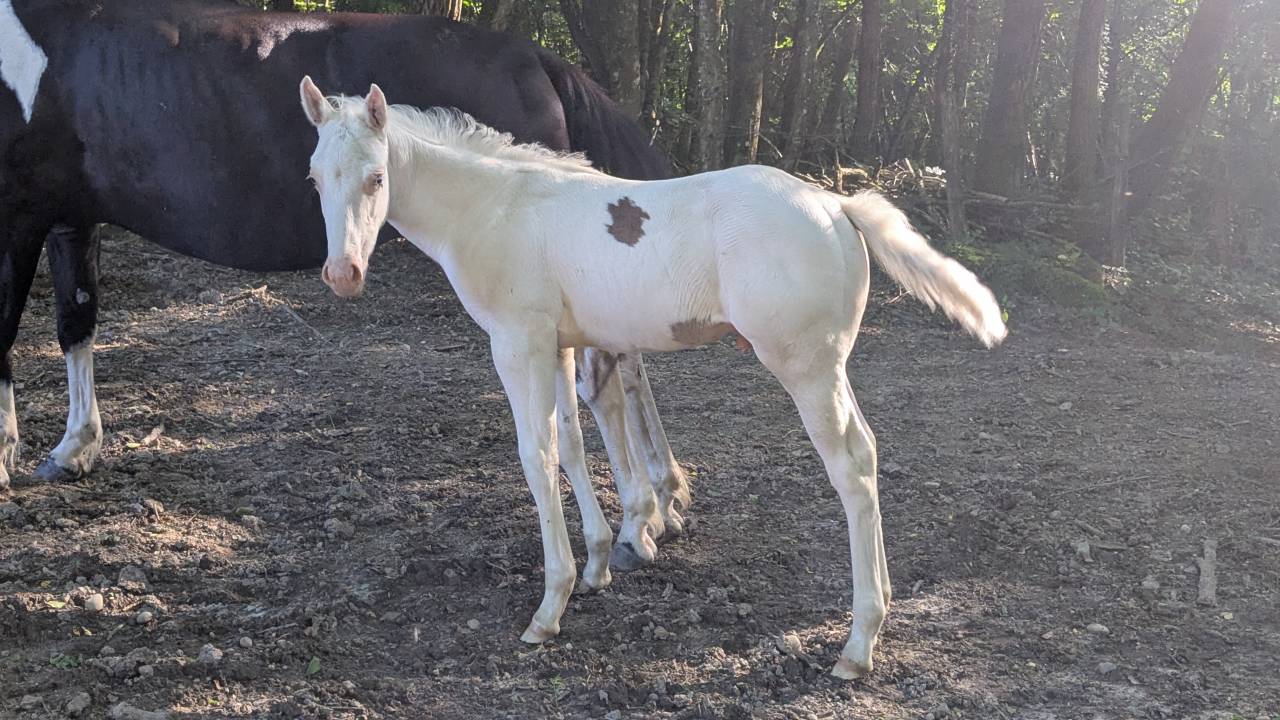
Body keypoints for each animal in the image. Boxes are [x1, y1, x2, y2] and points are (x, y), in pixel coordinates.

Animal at [0, 0, 685, 570]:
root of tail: (536, 59)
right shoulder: (69, 221)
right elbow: (76, 323)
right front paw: (74, 448)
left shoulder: (18, 222)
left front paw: (7, 457)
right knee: (624, 366)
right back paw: (660, 502)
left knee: (605, 379)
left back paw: (637, 523)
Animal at [298, 82, 1008, 678]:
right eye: (315, 179)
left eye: (377, 178)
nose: (342, 274)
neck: (497, 210)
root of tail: (836, 202)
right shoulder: (559, 346)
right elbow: (573, 444)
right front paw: (597, 563)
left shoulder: (517, 344)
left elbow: (537, 454)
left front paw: (550, 607)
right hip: (827, 366)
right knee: (870, 451)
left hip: (806, 367)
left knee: (853, 466)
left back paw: (858, 644)